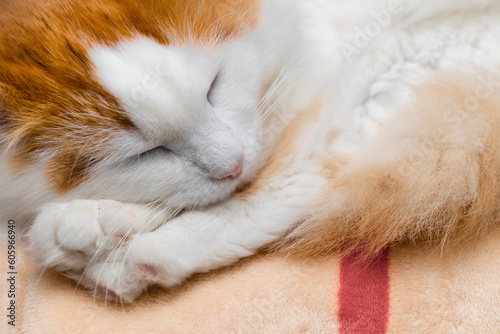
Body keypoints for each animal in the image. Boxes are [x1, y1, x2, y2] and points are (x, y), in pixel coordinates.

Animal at [0, 0, 500, 302]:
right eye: (146, 154)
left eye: (213, 86)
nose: (231, 165)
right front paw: (101, 224)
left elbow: (267, 174)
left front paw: (103, 233)